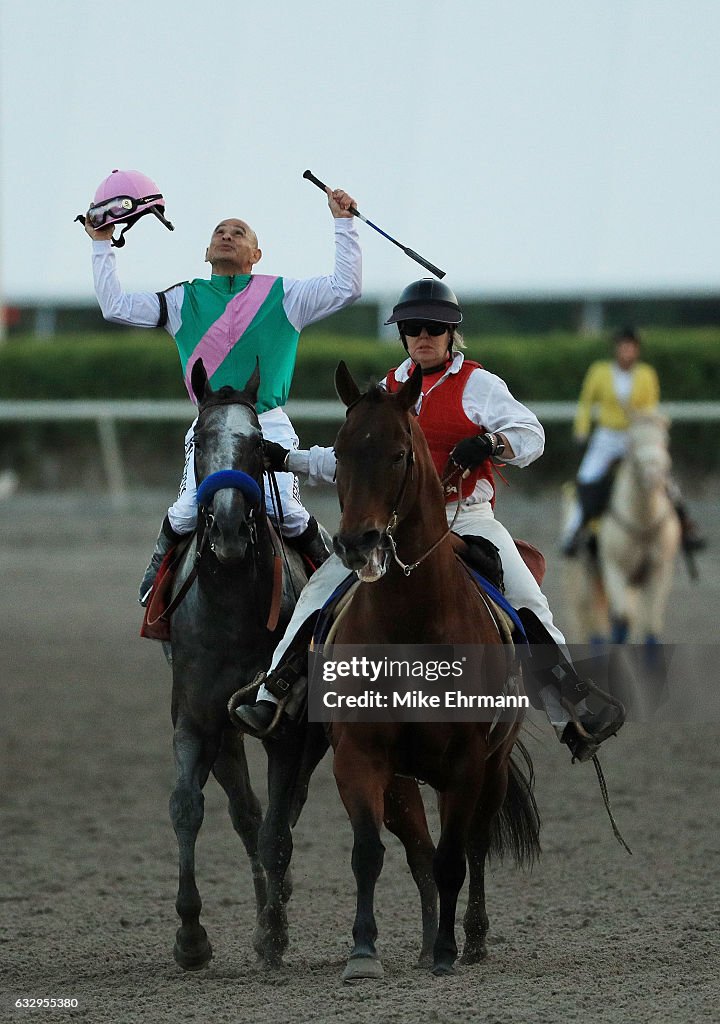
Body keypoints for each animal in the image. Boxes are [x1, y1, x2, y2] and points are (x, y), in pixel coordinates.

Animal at [165, 358, 323, 966]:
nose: (230, 527)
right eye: (198, 439)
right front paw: (190, 936)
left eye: (257, 443)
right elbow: (188, 807)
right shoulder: (197, 718)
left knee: (284, 810)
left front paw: (273, 931)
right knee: (246, 813)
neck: (232, 605)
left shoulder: (288, 728)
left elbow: (277, 831)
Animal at [327, 360, 540, 974]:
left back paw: (469, 939)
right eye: (339, 450)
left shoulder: (467, 763)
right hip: (405, 779)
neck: (411, 626)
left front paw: (448, 950)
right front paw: (364, 951)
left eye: (399, 453)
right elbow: (369, 852)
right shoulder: (360, 756)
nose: (357, 542)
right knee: (418, 848)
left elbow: (454, 857)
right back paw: (426, 942)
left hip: (489, 770)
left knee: (471, 845)